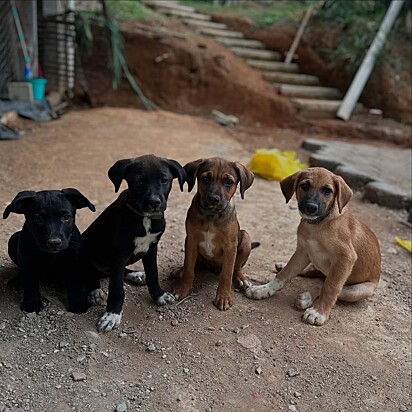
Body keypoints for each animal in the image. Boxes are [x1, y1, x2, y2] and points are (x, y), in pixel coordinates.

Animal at [83, 153, 186, 334]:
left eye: (164, 180)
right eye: (139, 181)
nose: (154, 202)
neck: (144, 218)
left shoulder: (152, 248)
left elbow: (153, 274)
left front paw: (159, 295)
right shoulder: (119, 254)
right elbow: (116, 288)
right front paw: (112, 315)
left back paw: (137, 275)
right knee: (89, 272)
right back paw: (95, 291)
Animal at [173, 157, 254, 308]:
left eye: (229, 182)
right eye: (205, 179)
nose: (214, 199)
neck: (211, 216)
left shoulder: (230, 247)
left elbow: (227, 274)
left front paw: (223, 297)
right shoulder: (191, 240)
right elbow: (189, 269)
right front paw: (182, 289)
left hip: (246, 238)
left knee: (236, 268)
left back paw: (241, 279)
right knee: (194, 265)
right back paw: (180, 270)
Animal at [246, 167, 382, 326]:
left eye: (328, 190)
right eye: (305, 186)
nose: (311, 207)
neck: (318, 224)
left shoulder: (345, 258)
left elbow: (331, 287)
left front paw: (319, 312)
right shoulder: (303, 251)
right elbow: (285, 274)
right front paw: (264, 289)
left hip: (360, 290)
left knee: (328, 286)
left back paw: (307, 298)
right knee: (312, 272)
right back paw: (285, 268)